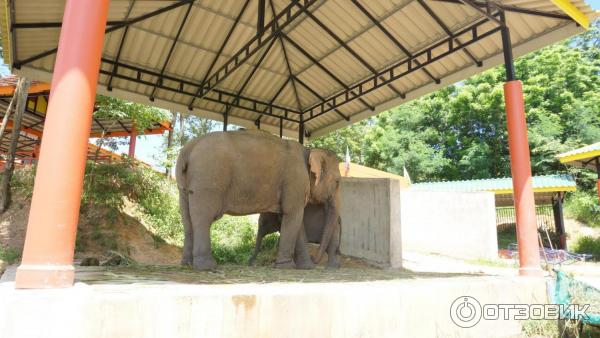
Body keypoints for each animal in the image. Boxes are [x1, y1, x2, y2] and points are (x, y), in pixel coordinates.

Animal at [176, 131, 340, 270]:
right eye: (338, 182)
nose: (314, 259)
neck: (309, 150)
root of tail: (188, 149)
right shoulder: (295, 181)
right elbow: (293, 216)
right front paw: (286, 267)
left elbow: (294, 220)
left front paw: (306, 267)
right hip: (208, 178)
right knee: (203, 218)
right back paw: (207, 266)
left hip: (186, 185)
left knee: (187, 220)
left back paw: (186, 264)